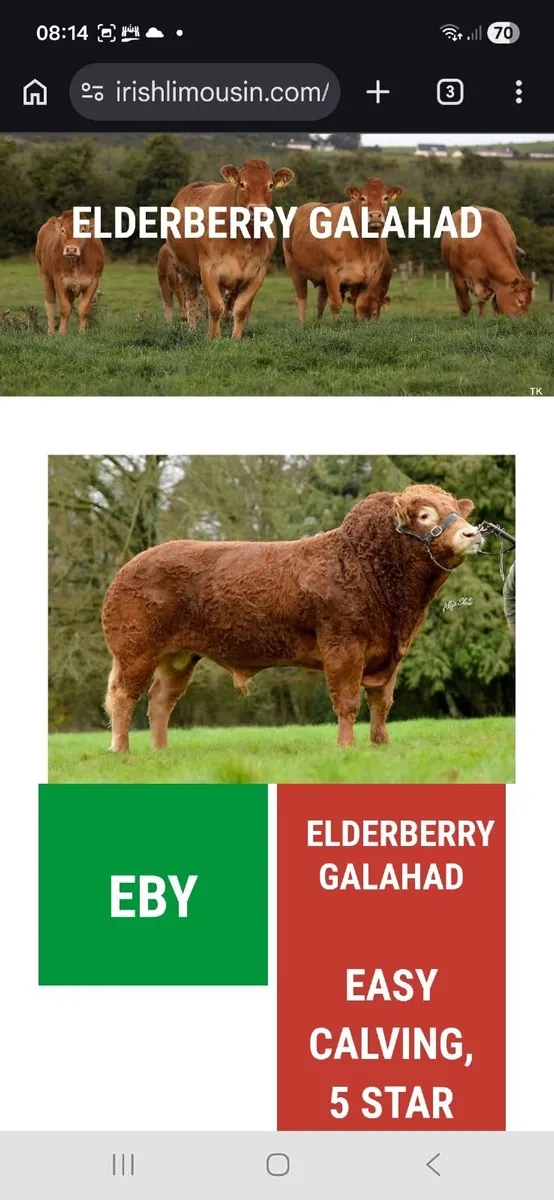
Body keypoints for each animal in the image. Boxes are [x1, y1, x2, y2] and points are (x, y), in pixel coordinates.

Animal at [102, 484, 483, 754]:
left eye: (455, 510)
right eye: (425, 515)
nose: (472, 533)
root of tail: (129, 567)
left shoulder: (390, 655)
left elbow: (381, 703)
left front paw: (380, 743)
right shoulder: (343, 647)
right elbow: (347, 701)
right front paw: (347, 746)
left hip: (178, 657)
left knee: (160, 700)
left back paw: (160, 750)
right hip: (135, 651)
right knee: (123, 697)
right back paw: (121, 750)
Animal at [167, 159, 294, 339]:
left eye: (270, 185)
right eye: (242, 184)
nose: (257, 210)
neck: (243, 240)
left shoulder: (257, 274)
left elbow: (240, 309)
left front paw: (235, 338)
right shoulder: (208, 269)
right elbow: (215, 307)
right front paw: (213, 338)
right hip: (181, 267)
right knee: (191, 300)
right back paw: (192, 330)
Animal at [283, 177, 401, 324]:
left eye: (385, 198)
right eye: (363, 198)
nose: (375, 215)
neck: (364, 245)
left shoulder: (372, 275)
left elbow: (360, 304)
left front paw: (359, 323)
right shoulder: (332, 271)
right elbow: (336, 303)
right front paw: (335, 325)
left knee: (320, 301)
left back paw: (318, 323)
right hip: (294, 268)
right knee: (301, 299)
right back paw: (303, 324)